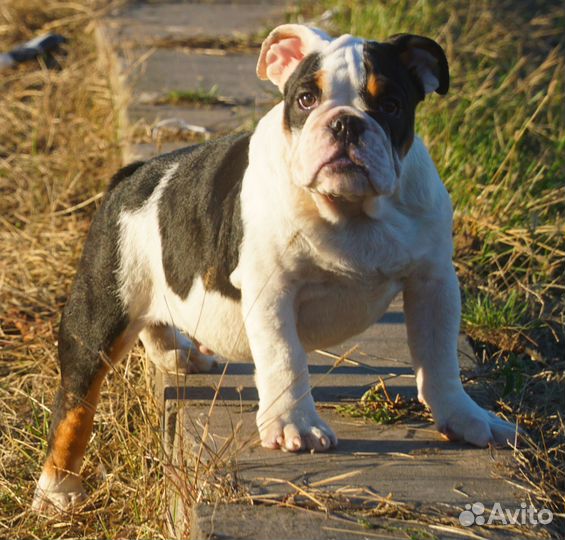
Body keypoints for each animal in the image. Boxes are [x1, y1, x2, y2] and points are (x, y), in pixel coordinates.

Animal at [32, 24, 516, 510]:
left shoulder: (433, 283)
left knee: (156, 320)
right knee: (75, 401)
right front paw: (294, 424)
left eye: (391, 105)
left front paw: (465, 419)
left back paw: (176, 352)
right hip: (99, 313)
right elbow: (285, 356)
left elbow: (439, 360)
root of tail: (133, 177)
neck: (349, 209)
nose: (346, 122)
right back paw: (58, 486)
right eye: (305, 99)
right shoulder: (272, 288)